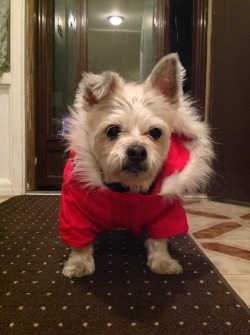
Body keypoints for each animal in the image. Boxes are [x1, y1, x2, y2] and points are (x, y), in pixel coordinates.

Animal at [58, 53, 213, 278]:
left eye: (155, 132)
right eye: (112, 130)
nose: (137, 151)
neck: (126, 190)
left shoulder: (165, 212)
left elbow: (159, 240)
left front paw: (162, 261)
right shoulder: (76, 211)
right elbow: (80, 241)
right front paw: (79, 263)